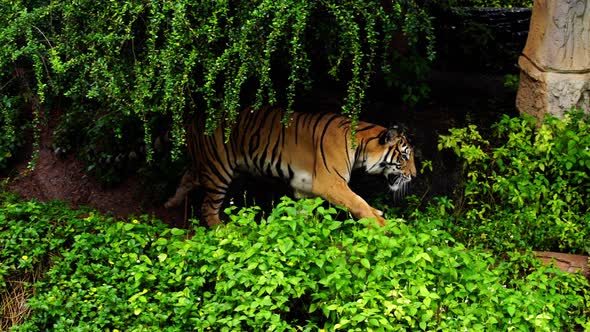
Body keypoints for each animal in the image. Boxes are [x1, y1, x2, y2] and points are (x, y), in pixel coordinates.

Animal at [164, 106, 418, 228]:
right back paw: (224, 230)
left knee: (186, 178)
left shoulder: (305, 187)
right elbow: (358, 201)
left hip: (206, 165)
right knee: (207, 207)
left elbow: (304, 215)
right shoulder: (330, 182)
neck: (362, 147)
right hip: (219, 170)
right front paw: (381, 225)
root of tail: (194, 120)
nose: (414, 176)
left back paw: (170, 204)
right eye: (405, 156)